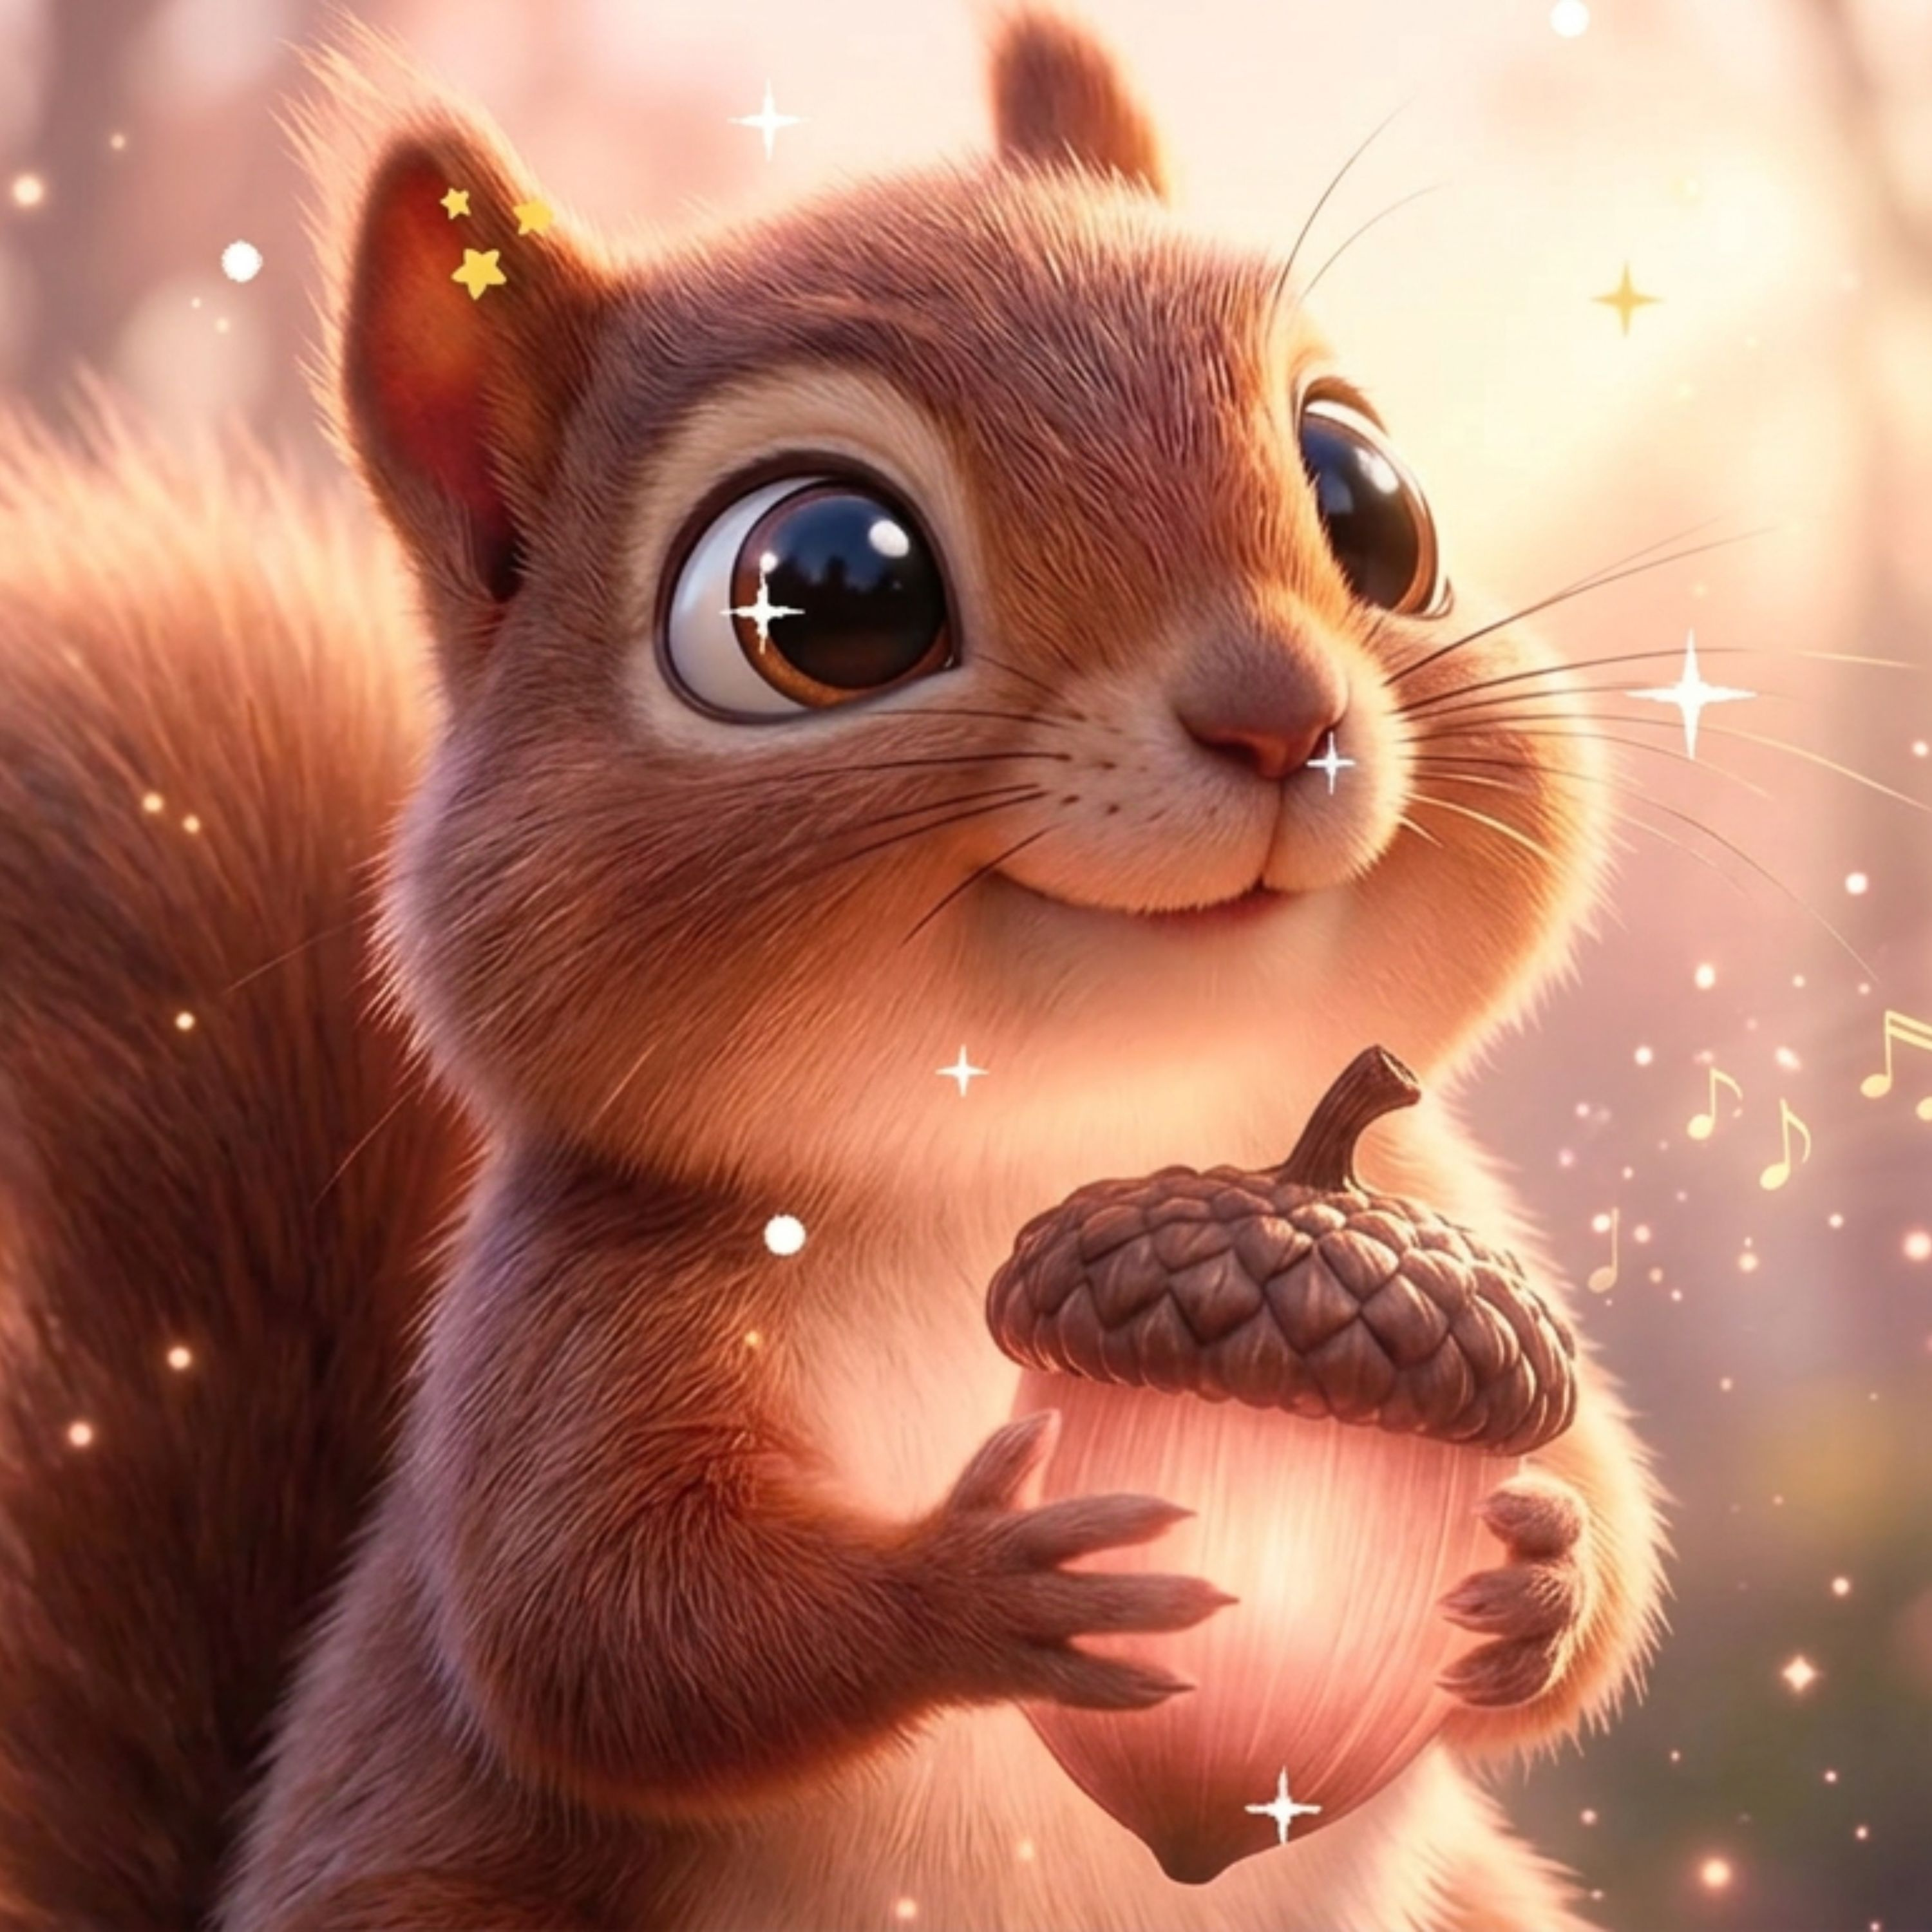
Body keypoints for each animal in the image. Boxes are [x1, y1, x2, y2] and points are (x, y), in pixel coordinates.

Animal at [0, 9, 1668, 1929]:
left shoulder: (1432, 1193)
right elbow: (609, 1621)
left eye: (1368, 501)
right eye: (822, 591)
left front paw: (1543, 1560)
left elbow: (1610, 1518)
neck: (1045, 1135)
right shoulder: (588, 1302)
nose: (1276, 712)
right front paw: (980, 1579)